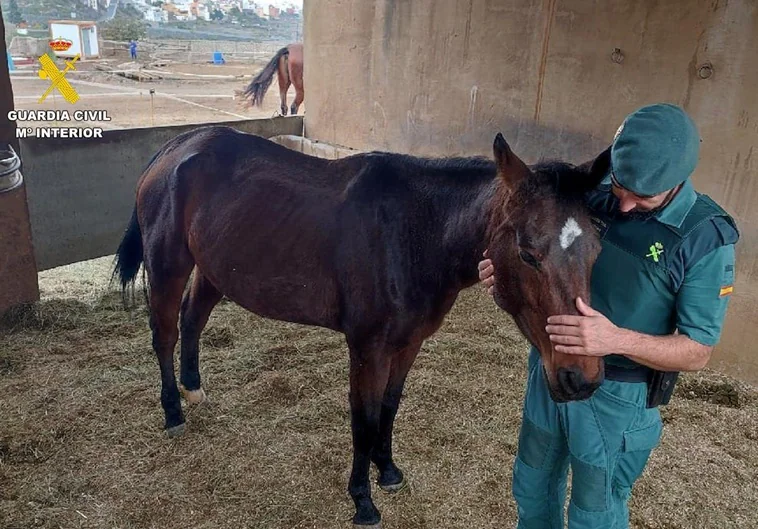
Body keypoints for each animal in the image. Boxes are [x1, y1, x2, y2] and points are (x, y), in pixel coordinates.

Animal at [113, 129, 612, 528]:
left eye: (596, 247)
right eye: (528, 253)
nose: (580, 378)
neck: (415, 232)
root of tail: (177, 147)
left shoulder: (408, 343)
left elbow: (389, 407)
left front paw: (387, 470)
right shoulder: (367, 348)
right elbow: (364, 418)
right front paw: (363, 502)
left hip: (214, 270)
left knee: (192, 318)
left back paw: (194, 388)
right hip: (168, 264)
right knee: (165, 333)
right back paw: (173, 412)